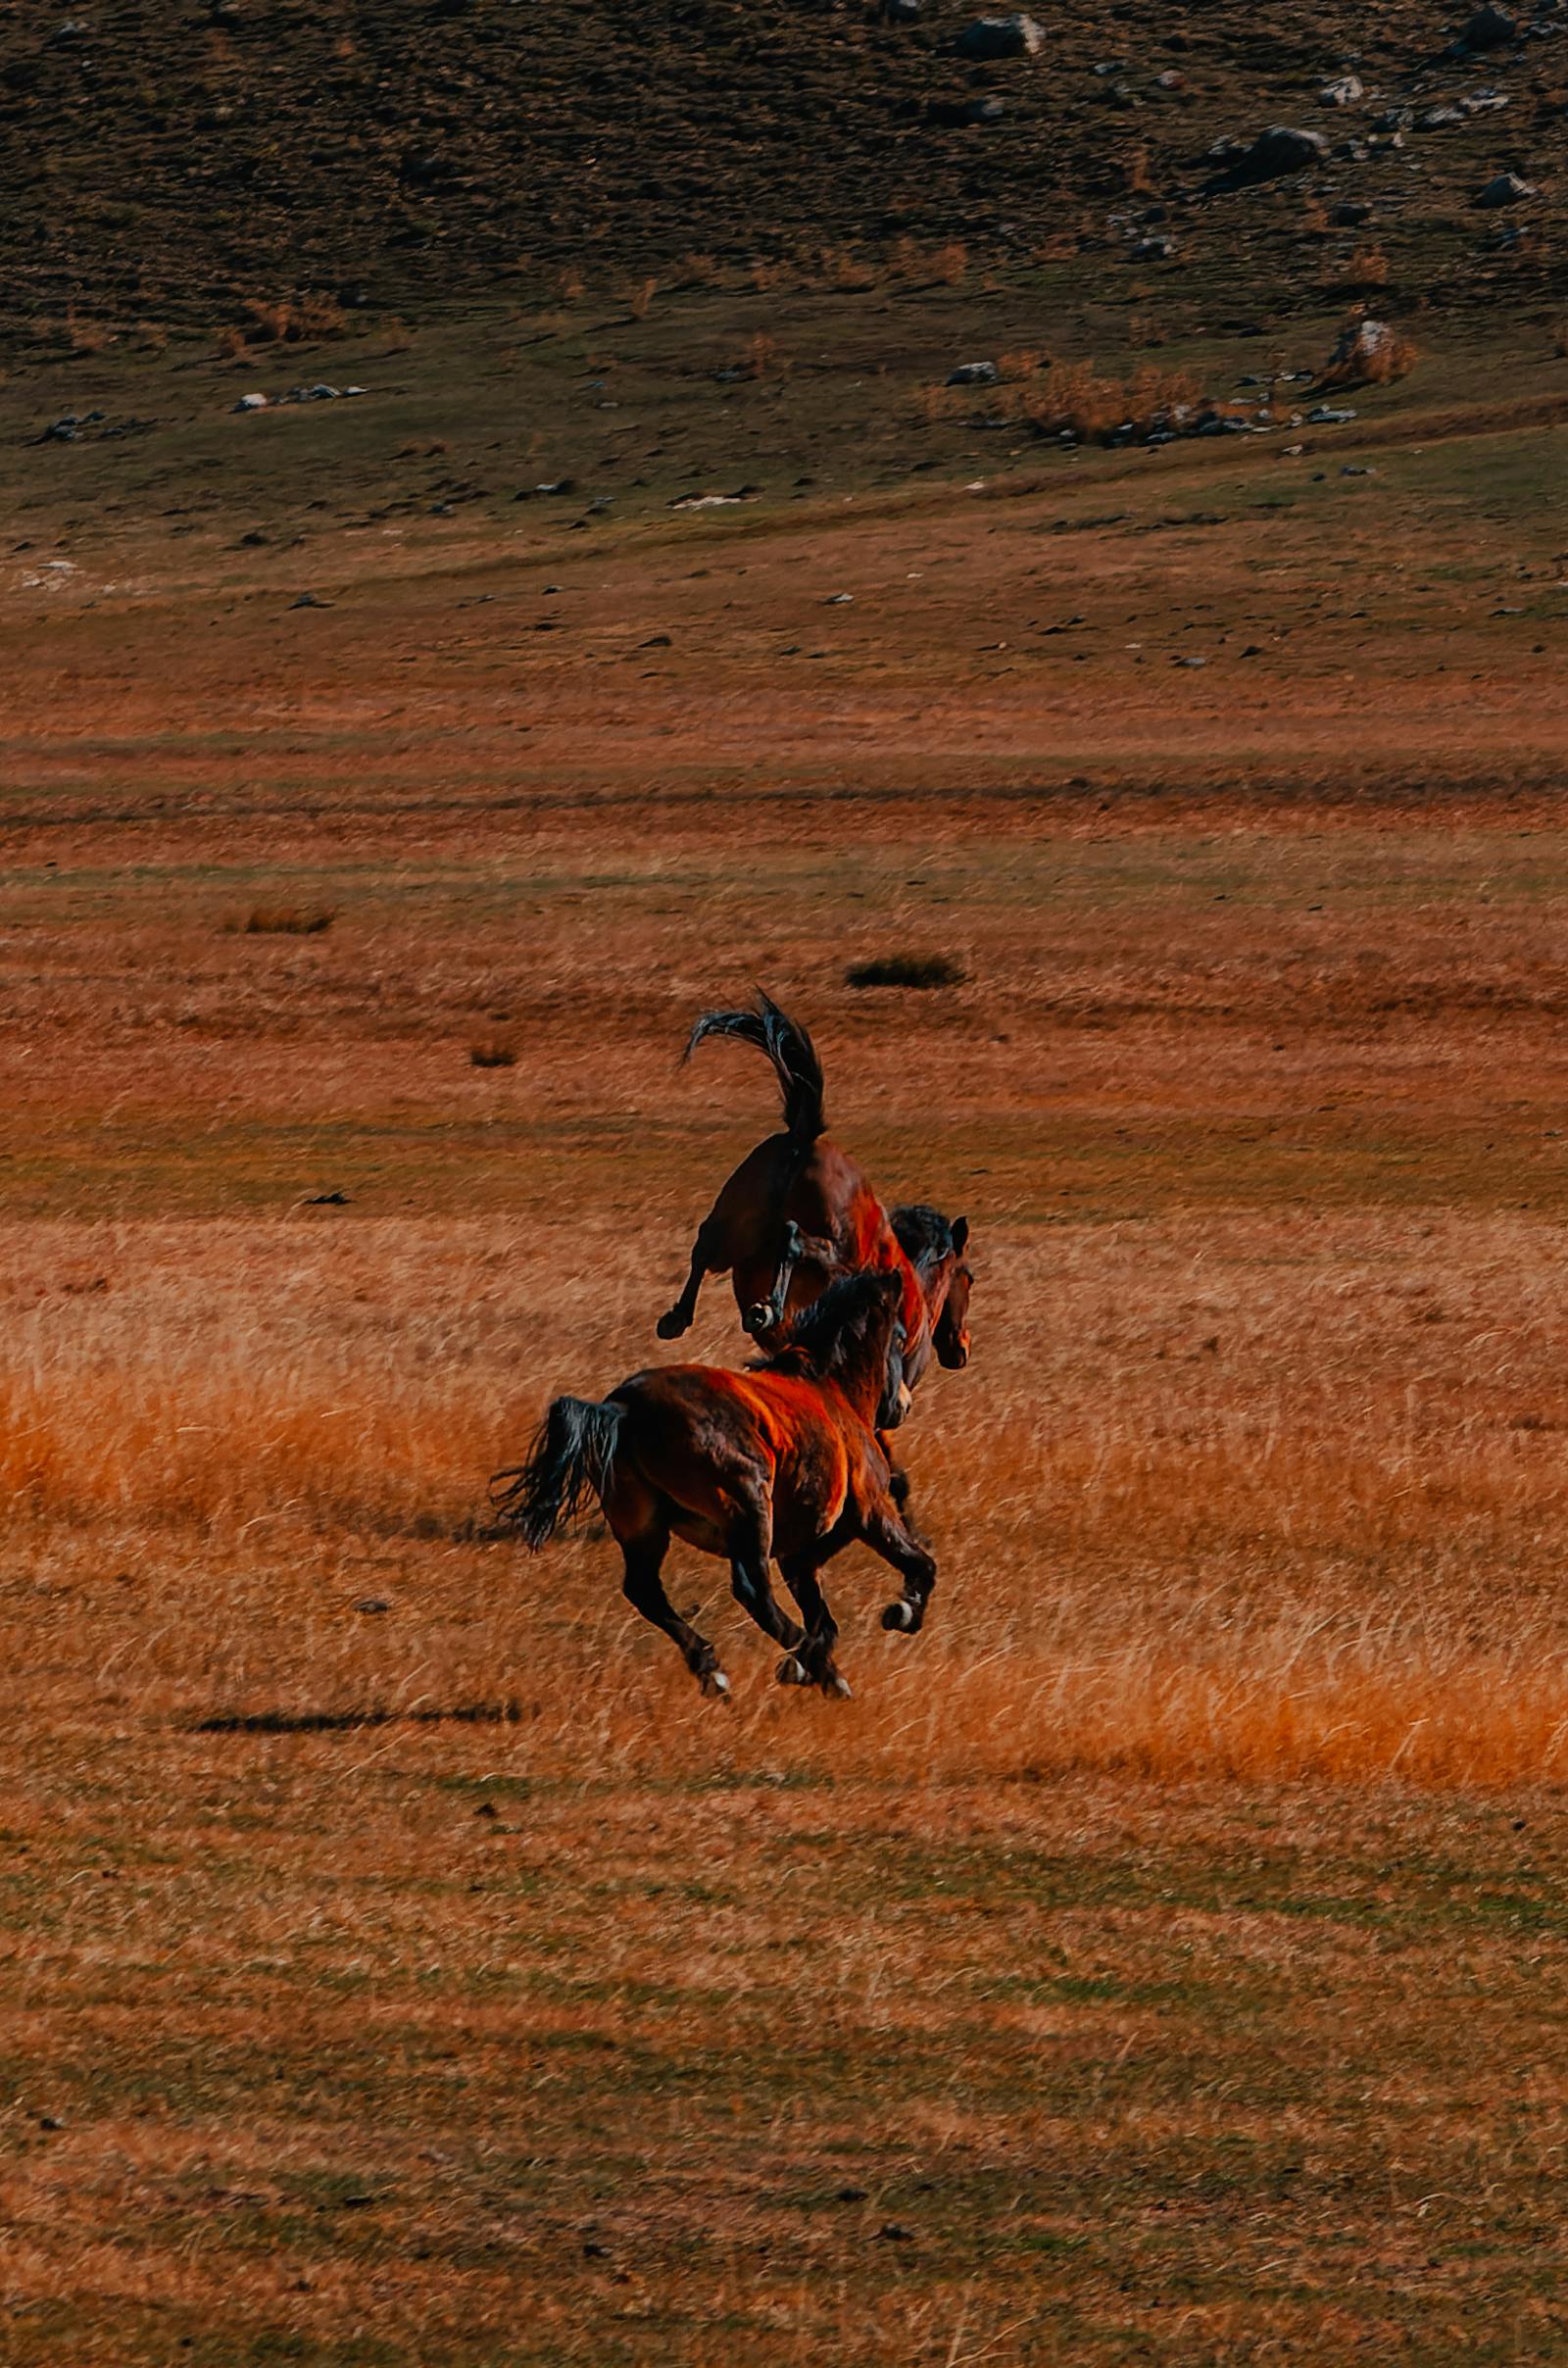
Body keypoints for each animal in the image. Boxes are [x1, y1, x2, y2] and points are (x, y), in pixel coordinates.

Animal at [492, 1278, 933, 1704]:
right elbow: (921, 1565)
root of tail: (625, 1408)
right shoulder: (869, 1512)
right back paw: (815, 1669)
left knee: (645, 1590)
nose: (903, 1405)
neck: (830, 1389)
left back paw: (716, 1670)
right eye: (899, 1336)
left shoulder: (802, 1554)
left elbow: (824, 1618)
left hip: (644, 1525)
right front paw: (901, 1614)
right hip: (749, 1507)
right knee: (753, 1592)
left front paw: (812, 1663)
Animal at [649, 980, 970, 1382]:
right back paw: (765, 1308)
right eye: (968, 1277)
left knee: (705, 1245)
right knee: (791, 1241)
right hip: (830, 1250)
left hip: (734, 1226)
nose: (961, 1350)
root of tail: (804, 1135)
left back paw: (678, 1318)